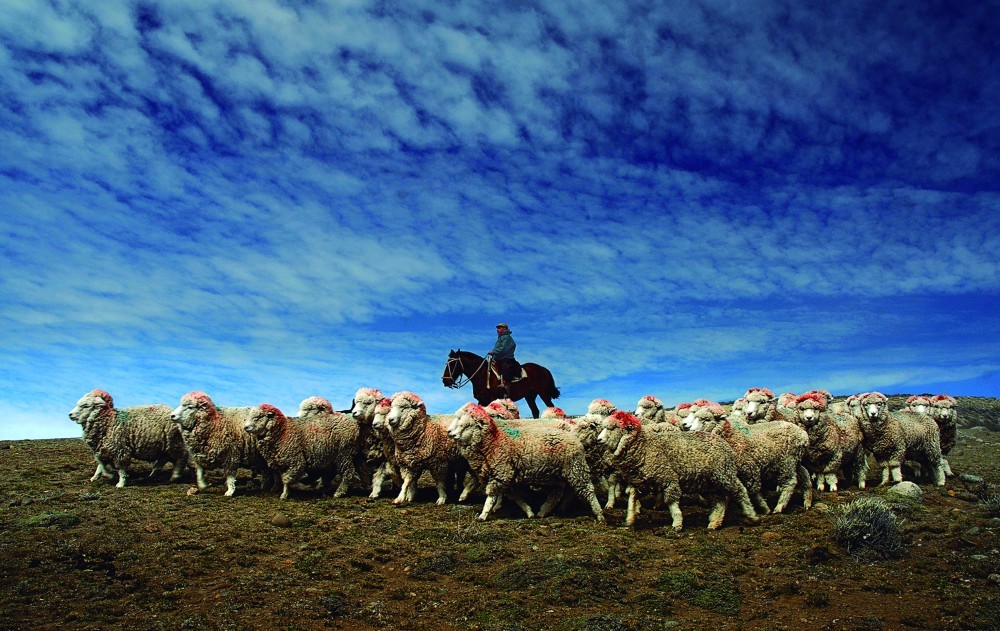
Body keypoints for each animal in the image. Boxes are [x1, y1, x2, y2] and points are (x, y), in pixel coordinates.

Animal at [446, 404, 600, 524]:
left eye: (467, 425)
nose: (451, 434)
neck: (494, 442)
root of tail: (574, 438)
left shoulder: (502, 473)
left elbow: (491, 496)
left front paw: (483, 514)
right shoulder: (507, 476)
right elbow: (516, 497)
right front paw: (529, 512)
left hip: (575, 469)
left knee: (588, 490)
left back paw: (599, 514)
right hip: (554, 474)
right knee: (556, 494)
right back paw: (543, 512)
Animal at [592, 412, 756, 532]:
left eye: (613, 428)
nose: (598, 439)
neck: (644, 447)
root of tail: (722, 442)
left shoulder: (668, 478)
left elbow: (671, 502)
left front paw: (677, 523)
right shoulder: (640, 481)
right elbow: (632, 499)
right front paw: (630, 519)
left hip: (724, 474)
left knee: (740, 491)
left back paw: (752, 515)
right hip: (709, 481)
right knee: (720, 500)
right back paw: (714, 523)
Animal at [680, 402, 812, 516]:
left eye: (707, 419)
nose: (690, 429)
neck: (730, 436)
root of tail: (803, 435)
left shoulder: (749, 468)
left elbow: (753, 490)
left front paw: (764, 508)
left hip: (787, 461)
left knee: (791, 481)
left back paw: (779, 506)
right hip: (794, 461)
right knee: (805, 475)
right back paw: (807, 502)